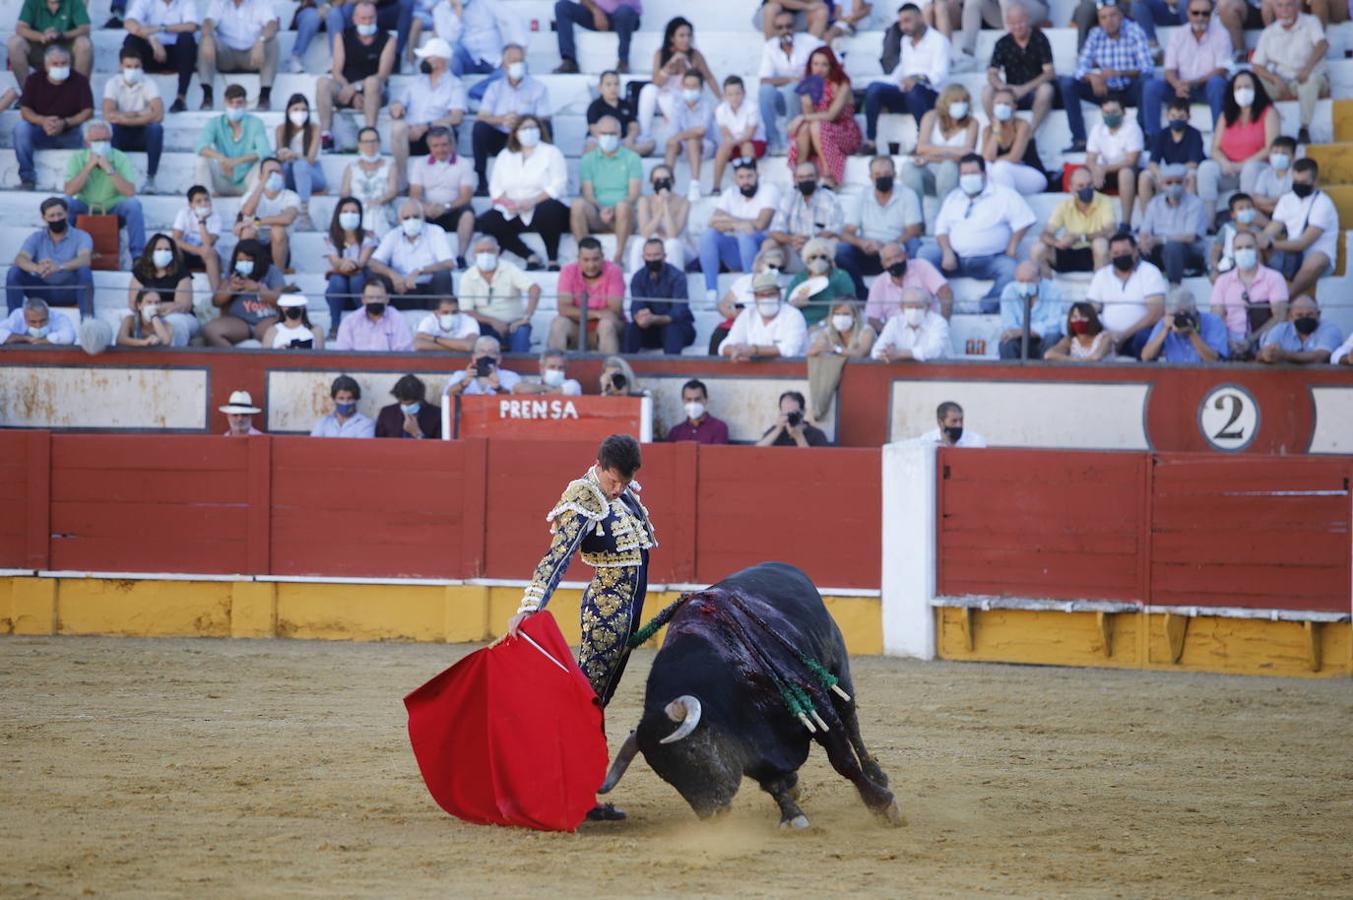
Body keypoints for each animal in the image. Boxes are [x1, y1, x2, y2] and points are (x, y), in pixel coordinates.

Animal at [600, 563, 898, 828]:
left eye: (692, 750)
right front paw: (792, 815)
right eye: (663, 773)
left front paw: (882, 804)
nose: (712, 814)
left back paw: (877, 776)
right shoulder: (748, 743)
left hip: (838, 669)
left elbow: (842, 759)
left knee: (851, 724)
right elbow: (771, 782)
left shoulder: (816, 705)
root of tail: (784, 567)